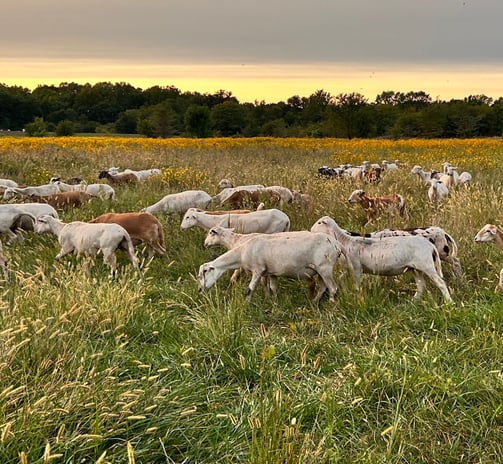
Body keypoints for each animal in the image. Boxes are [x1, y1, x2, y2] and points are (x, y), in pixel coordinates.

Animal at [312, 217, 452, 302]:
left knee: (441, 283)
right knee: (421, 286)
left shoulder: (357, 267)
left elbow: (357, 286)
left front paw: (357, 298)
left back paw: (449, 302)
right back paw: (413, 302)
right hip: (416, 268)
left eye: (319, 222)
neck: (346, 241)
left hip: (427, 265)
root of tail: (430, 246)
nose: (311, 230)